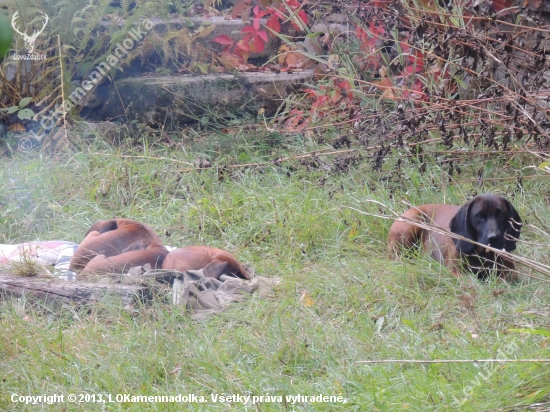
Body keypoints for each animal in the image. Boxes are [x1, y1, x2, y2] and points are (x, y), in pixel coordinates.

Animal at [390, 194, 524, 280]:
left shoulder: (511, 272)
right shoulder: (455, 272)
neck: (482, 255)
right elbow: (470, 280)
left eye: (501, 214)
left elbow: (504, 278)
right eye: (479, 216)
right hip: (412, 222)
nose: (493, 237)